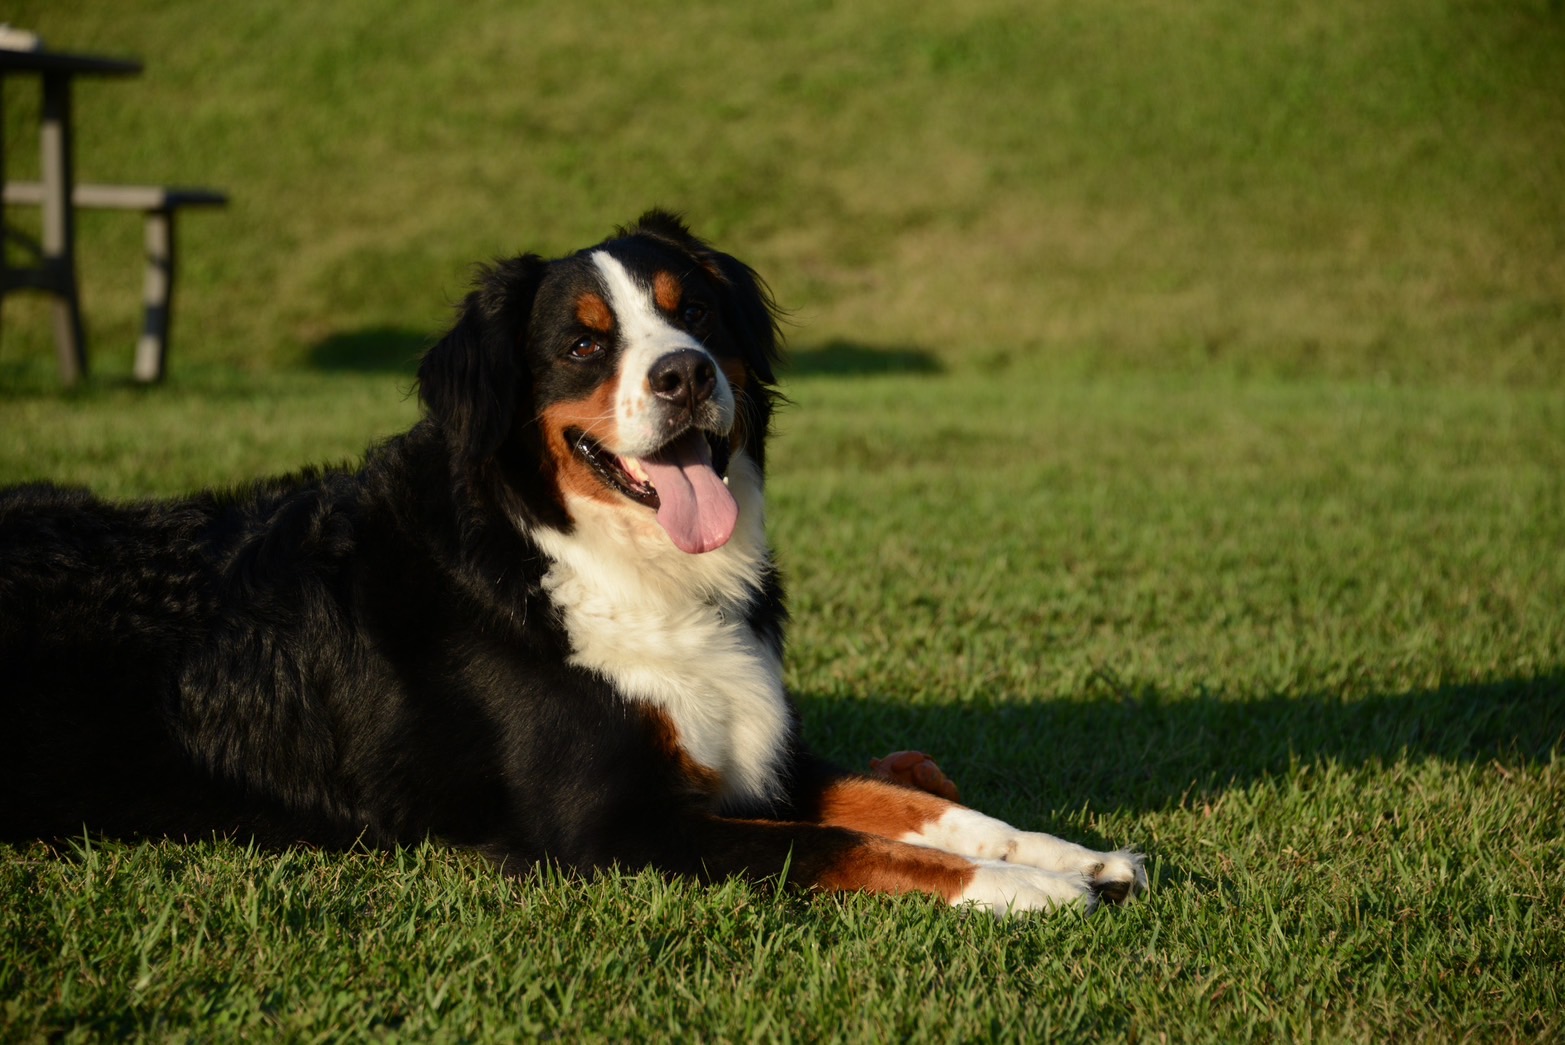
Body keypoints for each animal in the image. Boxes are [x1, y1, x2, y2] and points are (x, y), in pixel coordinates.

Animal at [0, 209, 1151, 913]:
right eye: (585, 343)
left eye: (692, 310)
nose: (685, 375)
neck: (604, 563)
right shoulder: (612, 827)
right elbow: (846, 844)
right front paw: (1018, 889)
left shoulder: (754, 755)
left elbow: (919, 804)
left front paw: (1072, 853)